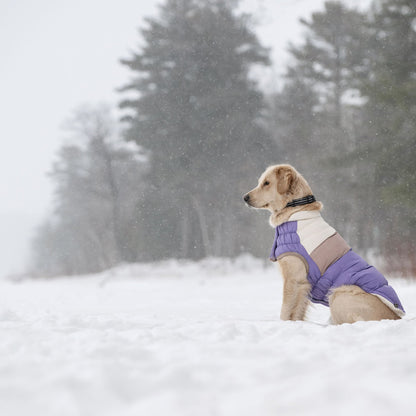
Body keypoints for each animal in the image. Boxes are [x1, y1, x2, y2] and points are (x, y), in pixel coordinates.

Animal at [242, 164, 404, 324]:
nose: (245, 198)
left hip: (339, 292)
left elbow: (286, 310)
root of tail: (396, 316)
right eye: (260, 182)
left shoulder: (294, 279)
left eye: (266, 183)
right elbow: (297, 312)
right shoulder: (303, 285)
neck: (295, 209)